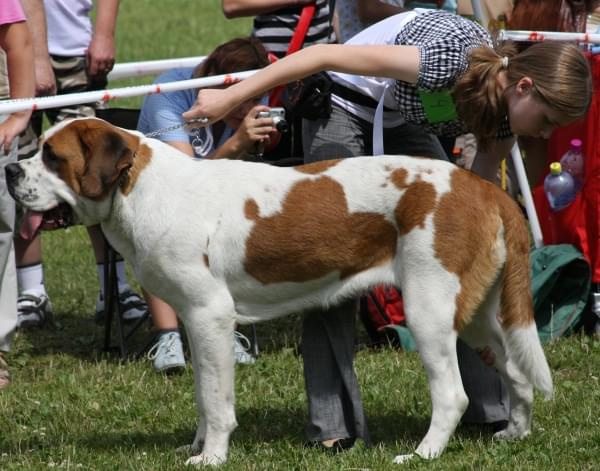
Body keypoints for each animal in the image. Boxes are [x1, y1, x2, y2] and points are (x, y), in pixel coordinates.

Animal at [5, 119, 552, 468]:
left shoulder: (210, 315)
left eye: (52, 157)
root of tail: (483, 187)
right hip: (479, 315)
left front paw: (212, 457)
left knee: (453, 394)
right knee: (517, 372)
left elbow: (216, 400)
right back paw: (514, 434)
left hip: (429, 310)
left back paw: (422, 454)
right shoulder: (193, 321)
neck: (137, 189)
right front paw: (196, 447)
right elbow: (202, 392)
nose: (11, 170)